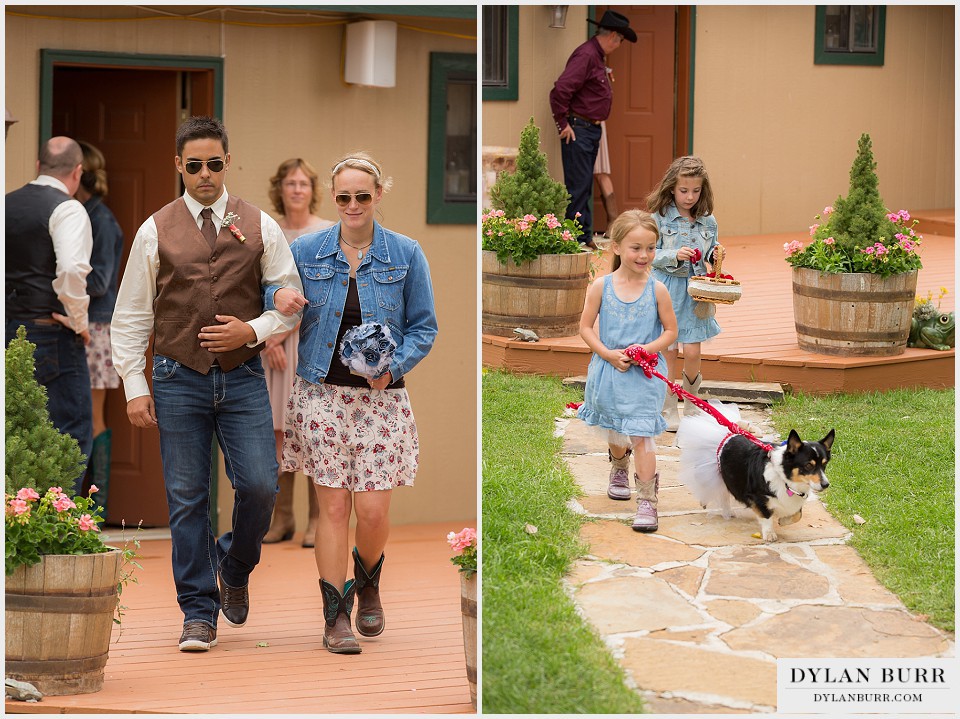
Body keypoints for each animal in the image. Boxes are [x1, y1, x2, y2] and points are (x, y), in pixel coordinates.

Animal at [676, 402, 832, 544]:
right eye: (808, 465)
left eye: (825, 464)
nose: (826, 485)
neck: (785, 480)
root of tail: (729, 434)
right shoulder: (757, 498)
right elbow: (766, 516)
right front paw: (769, 534)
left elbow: (797, 515)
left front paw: (782, 521)